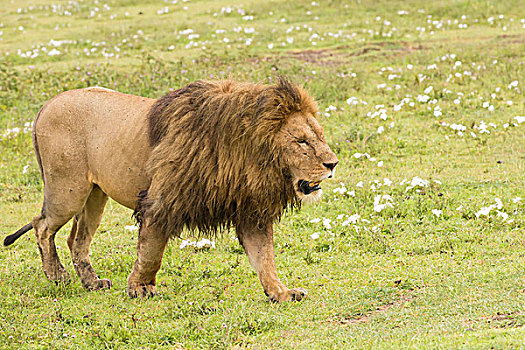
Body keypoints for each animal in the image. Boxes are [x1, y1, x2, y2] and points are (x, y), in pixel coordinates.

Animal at [4, 78, 338, 302]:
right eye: (301, 141)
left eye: (319, 136)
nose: (333, 163)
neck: (246, 153)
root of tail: (47, 104)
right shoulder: (161, 202)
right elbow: (151, 251)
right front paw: (140, 288)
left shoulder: (249, 211)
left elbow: (264, 258)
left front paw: (281, 292)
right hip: (68, 190)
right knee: (42, 225)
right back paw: (57, 276)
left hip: (95, 195)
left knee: (77, 240)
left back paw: (92, 283)